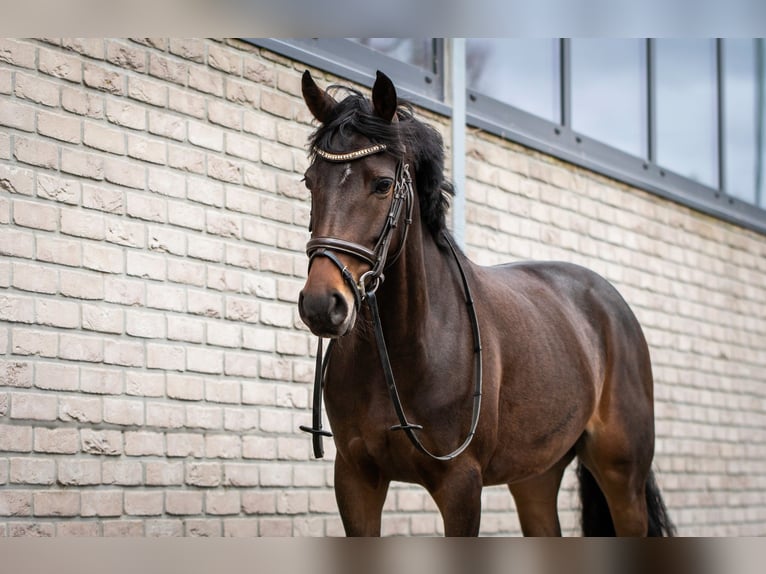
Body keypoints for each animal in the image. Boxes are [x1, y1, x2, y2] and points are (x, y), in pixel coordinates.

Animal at [296, 68, 676, 540]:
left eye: (382, 185)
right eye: (310, 181)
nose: (321, 304)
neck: (407, 347)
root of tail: (612, 305)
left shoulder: (461, 485)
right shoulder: (355, 478)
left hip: (622, 476)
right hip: (536, 475)